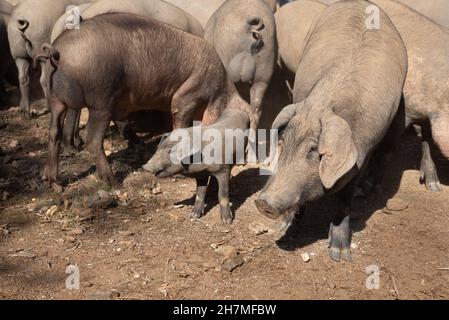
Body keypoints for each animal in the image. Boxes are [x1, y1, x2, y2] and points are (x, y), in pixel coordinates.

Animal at [36, 13, 254, 188]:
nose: (243, 160)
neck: (222, 88)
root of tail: (56, 50)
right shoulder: (187, 95)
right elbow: (180, 119)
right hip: (101, 98)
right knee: (92, 139)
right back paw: (114, 184)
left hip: (54, 99)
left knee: (53, 132)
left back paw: (51, 182)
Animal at [254, 0, 408, 262]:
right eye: (283, 141)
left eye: (314, 150)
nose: (263, 202)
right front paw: (284, 227)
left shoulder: (362, 155)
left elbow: (345, 200)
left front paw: (339, 255)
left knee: (386, 153)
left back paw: (368, 192)